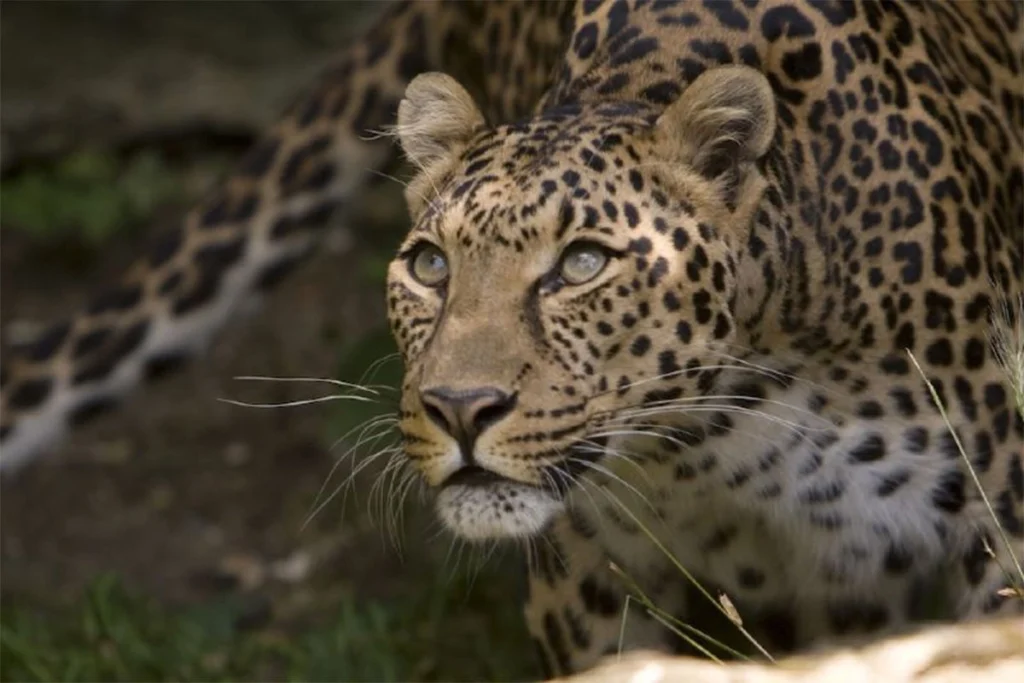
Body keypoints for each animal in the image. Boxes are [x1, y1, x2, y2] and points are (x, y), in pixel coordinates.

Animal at [2, 0, 1022, 679]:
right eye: (430, 266)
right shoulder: (589, 576)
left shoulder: (995, 538)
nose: (460, 409)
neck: (731, 430)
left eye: (582, 263)